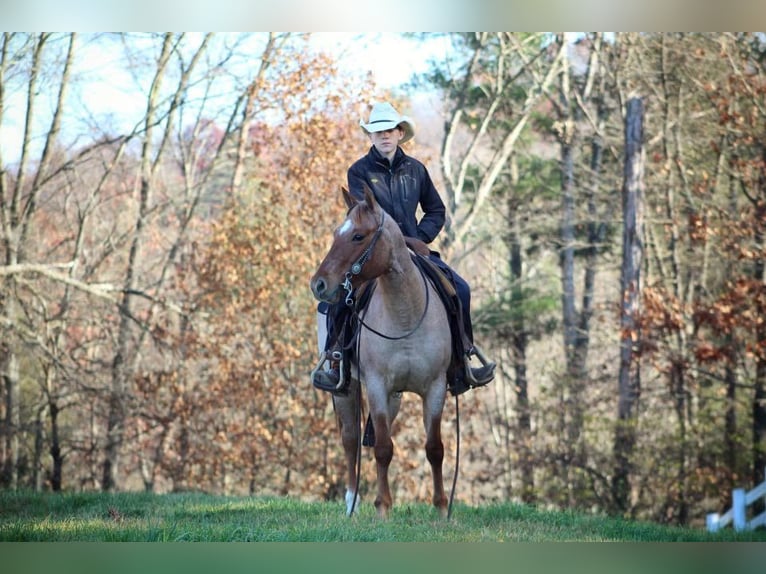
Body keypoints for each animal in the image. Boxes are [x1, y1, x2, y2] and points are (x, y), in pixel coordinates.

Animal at [310, 187, 456, 520]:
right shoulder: (376, 386)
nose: (318, 284)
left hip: (396, 397)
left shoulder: (435, 387)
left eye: (358, 236)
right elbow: (382, 448)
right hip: (347, 389)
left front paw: (442, 509)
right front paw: (383, 509)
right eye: (336, 233)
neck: (406, 313)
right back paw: (351, 502)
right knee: (351, 440)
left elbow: (434, 448)